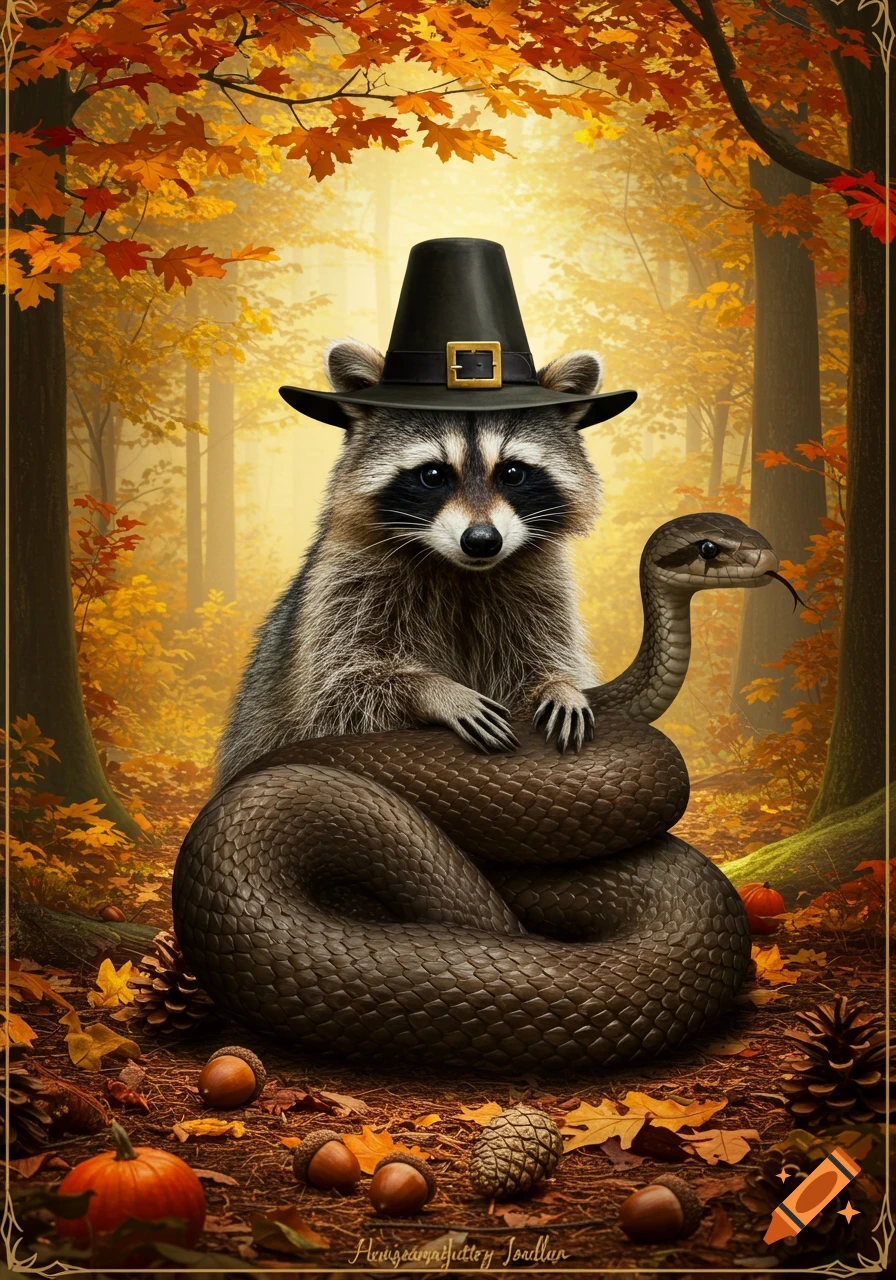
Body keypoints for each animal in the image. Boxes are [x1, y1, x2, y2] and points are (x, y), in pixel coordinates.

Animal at [215, 340, 604, 787]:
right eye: (433, 475)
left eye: (512, 472)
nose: (482, 541)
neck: (462, 572)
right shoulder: (345, 588)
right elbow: (342, 688)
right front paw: (430, 690)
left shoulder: (540, 585)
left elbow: (543, 655)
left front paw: (558, 685)